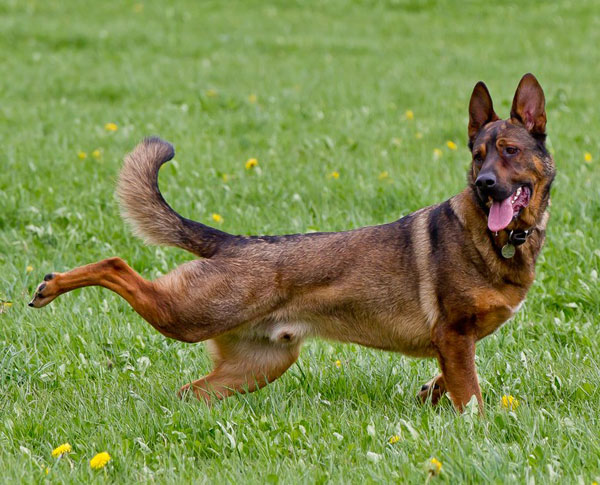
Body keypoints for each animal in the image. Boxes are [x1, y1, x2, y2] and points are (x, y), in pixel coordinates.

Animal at [27, 73, 552, 412]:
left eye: (509, 151)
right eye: (478, 155)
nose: (485, 184)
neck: (498, 239)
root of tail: (233, 242)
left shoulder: (455, 343)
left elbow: (451, 379)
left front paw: (430, 393)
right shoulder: (453, 335)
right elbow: (472, 396)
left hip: (258, 365)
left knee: (187, 393)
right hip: (190, 314)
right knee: (117, 264)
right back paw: (50, 286)